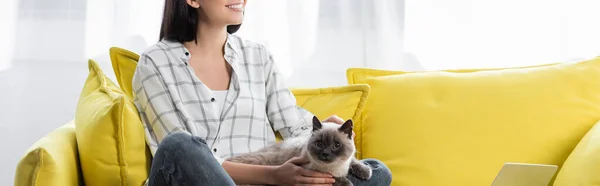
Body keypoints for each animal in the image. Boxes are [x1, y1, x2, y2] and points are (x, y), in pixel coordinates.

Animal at [227, 116, 372, 186]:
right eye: (319, 144)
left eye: (336, 145)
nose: (325, 154)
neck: (337, 167)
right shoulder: (313, 172)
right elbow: (333, 178)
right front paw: (348, 183)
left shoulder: (348, 160)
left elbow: (354, 161)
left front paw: (366, 172)